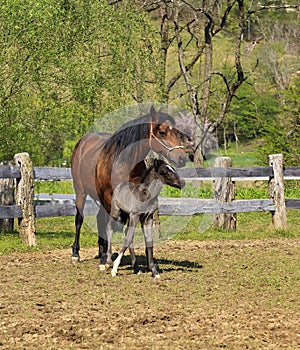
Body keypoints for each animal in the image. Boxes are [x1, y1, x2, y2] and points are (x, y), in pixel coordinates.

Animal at [71, 105, 186, 270]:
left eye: (176, 132)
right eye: (162, 132)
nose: (182, 158)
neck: (123, 162)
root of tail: (82, 142)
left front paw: (149, 264)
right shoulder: (109, 197)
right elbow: (110, 226)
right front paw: (106, 261)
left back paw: (101, 252)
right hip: (81, 192)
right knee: (80, 219)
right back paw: (77, 254)